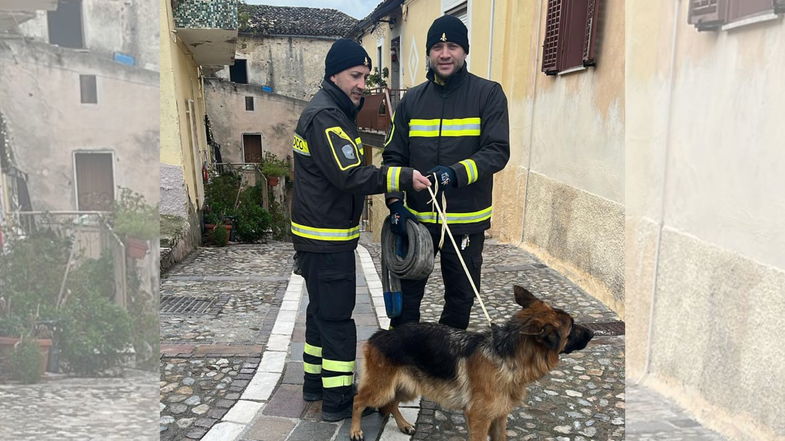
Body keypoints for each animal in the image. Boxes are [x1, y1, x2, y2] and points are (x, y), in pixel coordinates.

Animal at [350, 284, 596, 438]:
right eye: (572, 326)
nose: (594, 332)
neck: (505, 356)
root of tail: (381, 334)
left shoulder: (499, 417)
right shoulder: (479, 419)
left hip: (407, 387)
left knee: (392, 403)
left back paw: (403, 424)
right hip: (382, 388)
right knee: (358, 400)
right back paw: (355, 430)